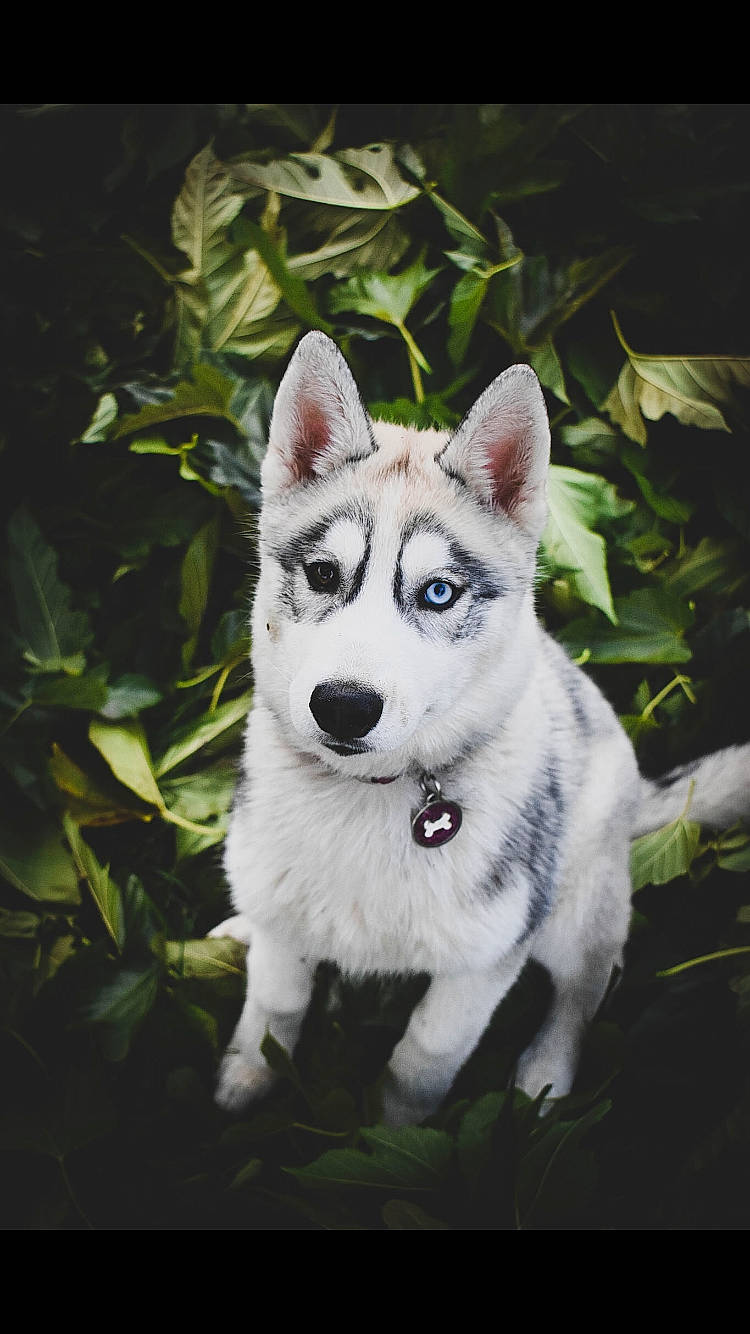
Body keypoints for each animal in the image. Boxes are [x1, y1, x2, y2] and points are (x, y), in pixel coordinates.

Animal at [211, 331, 750, 1127]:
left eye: (439, 592)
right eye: (322, 573)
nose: (343, 705)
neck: (372, 795)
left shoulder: (484, 961)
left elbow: (423, 1058)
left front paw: (393, 1136)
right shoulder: (287, 932)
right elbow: (275, 1007)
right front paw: (246, 1081)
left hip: (573, 911)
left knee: (586, 988)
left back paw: (545, 1079)